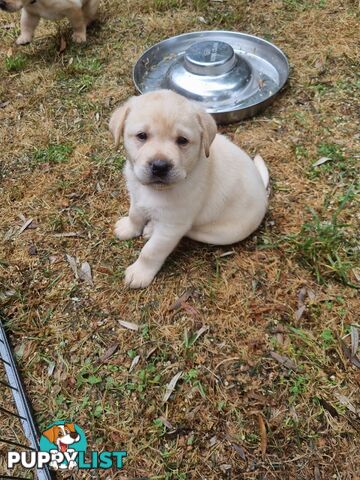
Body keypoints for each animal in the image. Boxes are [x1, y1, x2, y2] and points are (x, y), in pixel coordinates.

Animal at [109, 89, 270, 288]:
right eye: (141, 136)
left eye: (182, 140)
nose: (160, 166)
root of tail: (263, 190)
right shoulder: (137, 196)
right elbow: (135, 214)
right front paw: (128, 227)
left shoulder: (172, 225)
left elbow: (151, 251)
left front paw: (140, 273)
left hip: (220, 233)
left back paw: (152, 229)